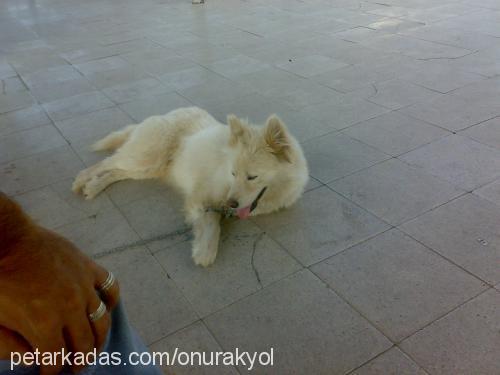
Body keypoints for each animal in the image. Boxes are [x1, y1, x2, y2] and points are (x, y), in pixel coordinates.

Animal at [73, 108, 308, 268]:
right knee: (109, 162)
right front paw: (205, 251)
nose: (231, 203)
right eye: (233, 173)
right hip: (146, 158)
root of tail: (164, 114)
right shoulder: (200, 197)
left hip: (149, 168)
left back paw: (93, 186)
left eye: (252, 177)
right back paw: (82, 180)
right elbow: (213, 222)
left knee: (116, 171)